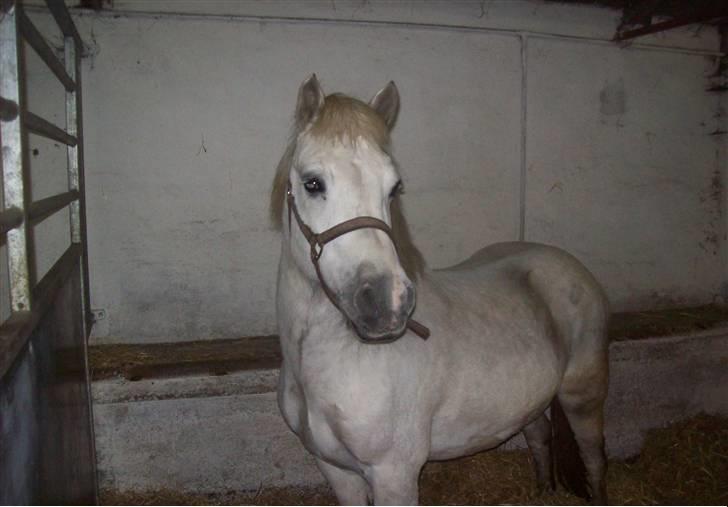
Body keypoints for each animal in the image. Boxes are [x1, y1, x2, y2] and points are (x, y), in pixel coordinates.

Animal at [270, 75, 609, 505]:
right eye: (312, 183)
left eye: (394, 188)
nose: (388, 303)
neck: (328, 361)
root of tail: (568, 264)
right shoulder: (335, 471)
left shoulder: (394, 475)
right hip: (529, 404)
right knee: (540, 437)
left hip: (583, 395)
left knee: (594, 457)